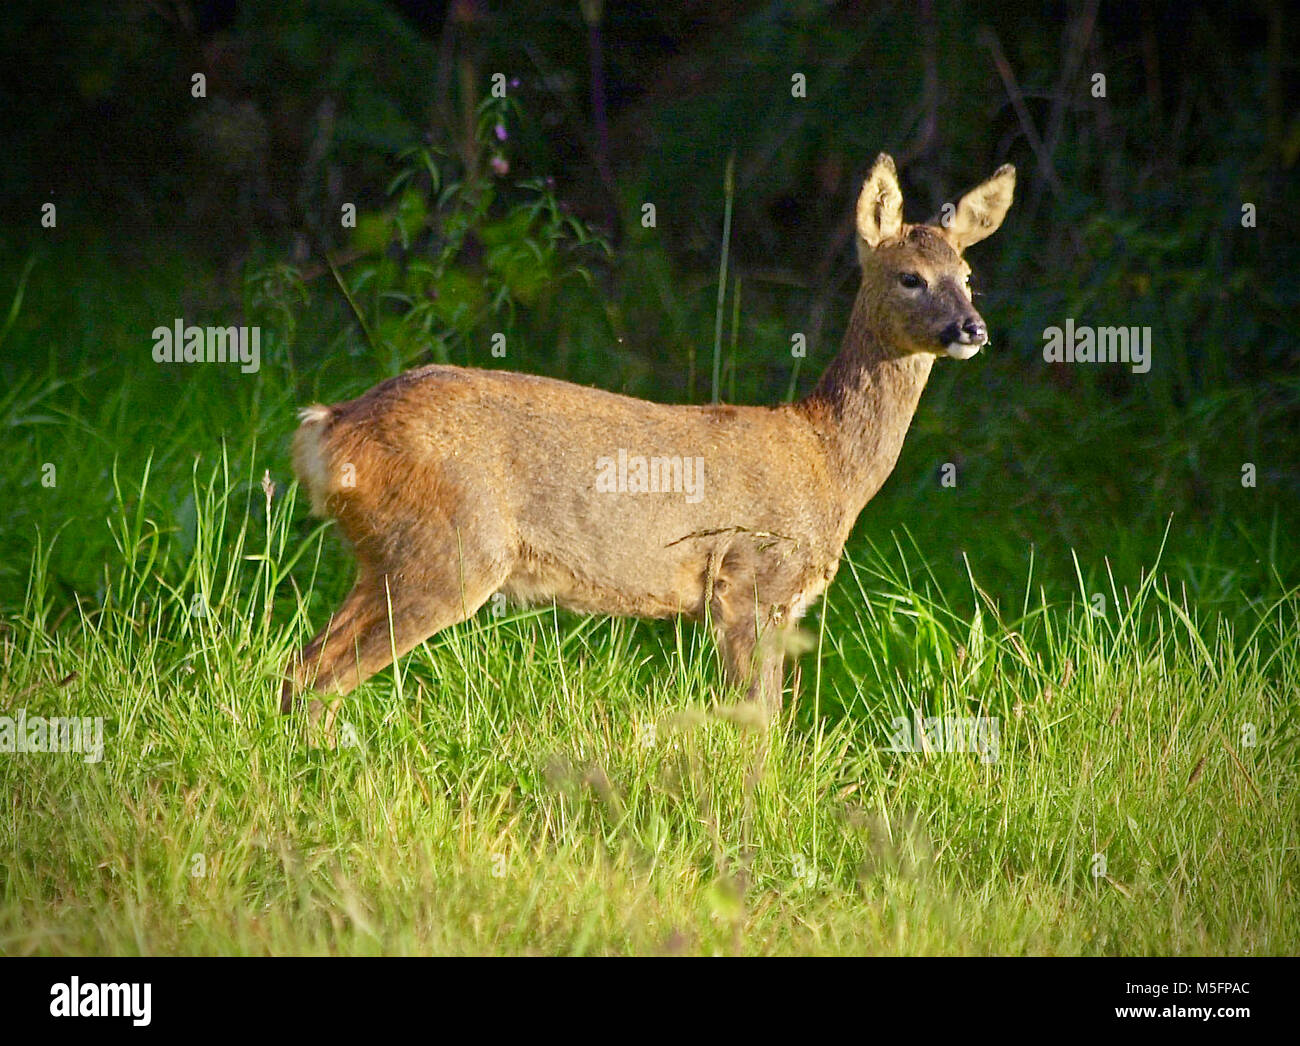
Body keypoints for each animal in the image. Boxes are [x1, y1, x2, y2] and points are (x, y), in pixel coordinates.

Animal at [282, 153, 1013, 717]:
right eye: (910, 278)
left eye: (968, 278)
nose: (972, 329)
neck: (829, 458)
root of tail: (330, 430)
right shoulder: (750, 581)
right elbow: (759, 722)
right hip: (446, 550)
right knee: (317, 676)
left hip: (387, 555)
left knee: (299, 669)